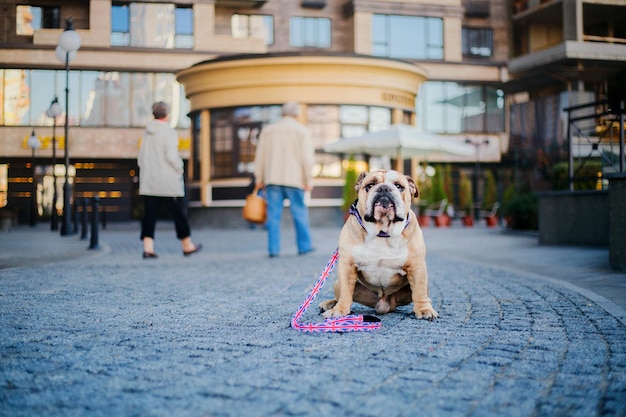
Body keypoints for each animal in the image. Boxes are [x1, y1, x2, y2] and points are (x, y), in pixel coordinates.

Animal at [320, 169, 436, 318]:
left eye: (399, 186)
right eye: (369, 185)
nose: (384, 188)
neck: (382, 232)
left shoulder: (417, 267)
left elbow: (419, 292)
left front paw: (423, 309)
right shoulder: (347, 266)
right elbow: (346, 292)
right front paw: (339, 310)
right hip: (337, 283)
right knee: (341, 295)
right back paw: (330, 304)